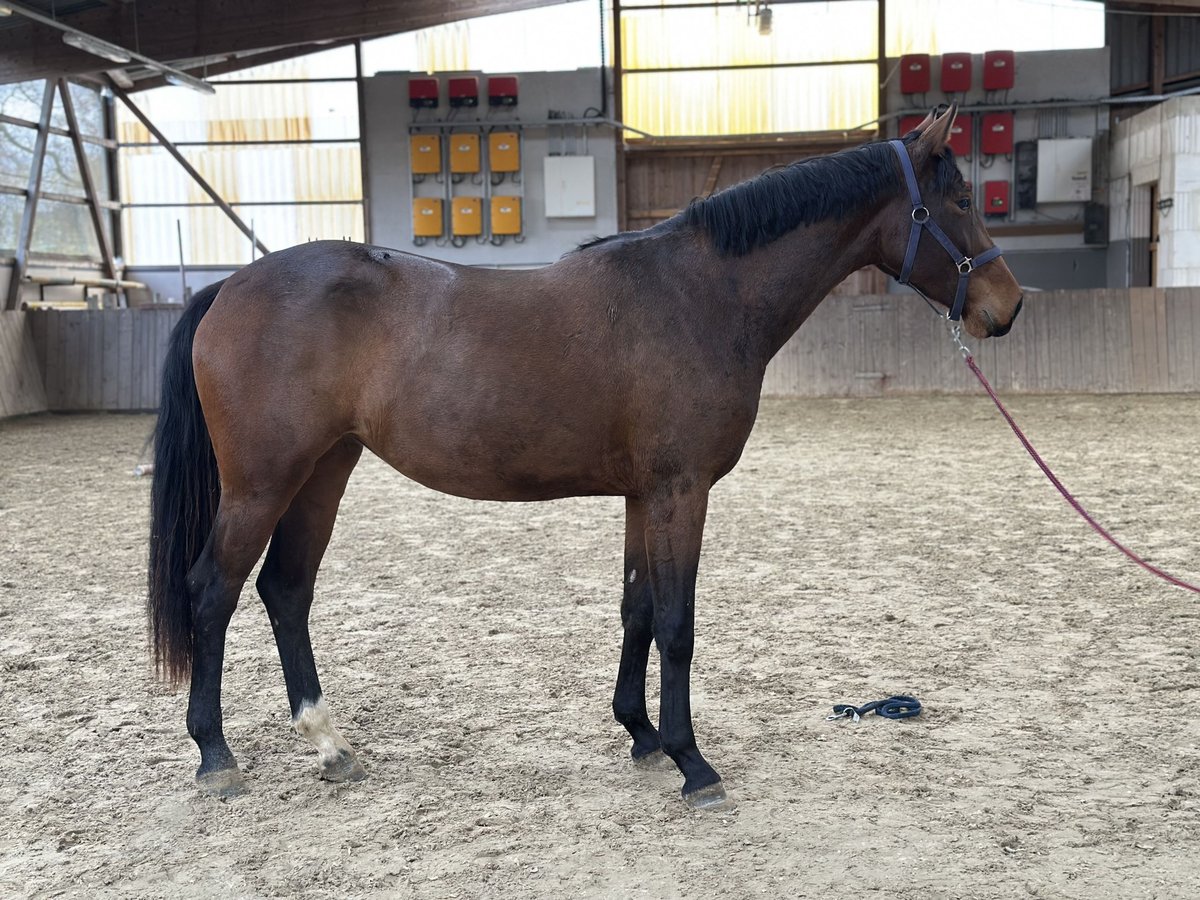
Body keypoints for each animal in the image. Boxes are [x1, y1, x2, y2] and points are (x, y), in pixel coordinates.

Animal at [148, 105, 1022, 809]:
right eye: (961, 200)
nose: (1006, 307)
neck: (701, 295)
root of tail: (229, 287)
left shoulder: (643, 494)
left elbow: (636, 607)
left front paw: (640, 735)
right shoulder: (680, 490)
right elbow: (676, 622)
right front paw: (693, 765)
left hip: (323, 472)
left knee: (286, 591)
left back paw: (330, 745)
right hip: (262, 483)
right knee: (213, 591)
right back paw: (216, 756)